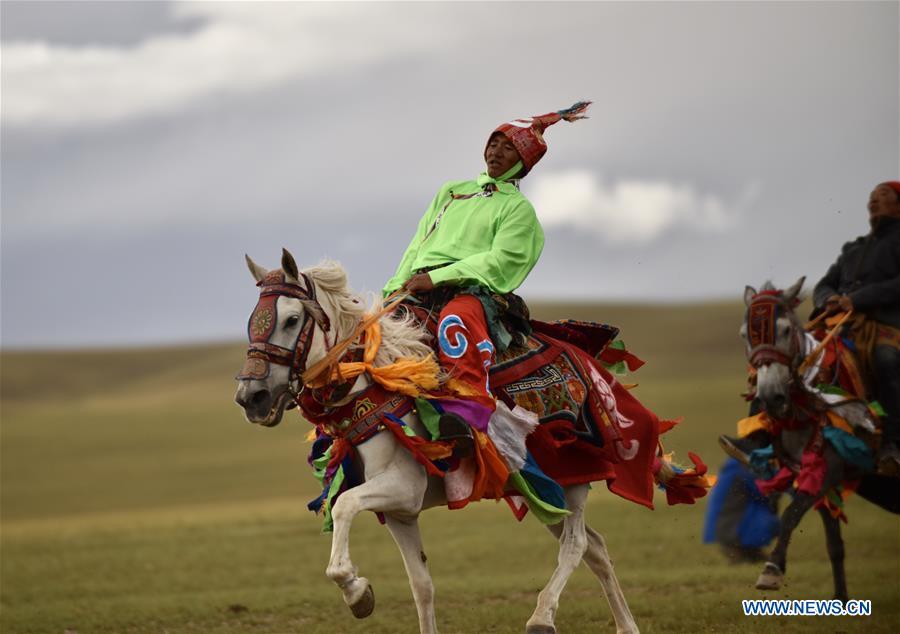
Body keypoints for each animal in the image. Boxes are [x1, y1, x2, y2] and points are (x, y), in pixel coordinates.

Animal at [236, 249, 652, 628]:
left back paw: (541, 617)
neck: (375, 383)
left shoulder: (404, 486)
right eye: (251, 323)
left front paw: (356, 592)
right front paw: (362, 593)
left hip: (574, 476)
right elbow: (422, 586)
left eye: (292, 320)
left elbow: (343, 508)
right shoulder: (400, 512)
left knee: (576, 544)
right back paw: (626, 626)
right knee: (595, 548)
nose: (251, 397)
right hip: (543, 492)